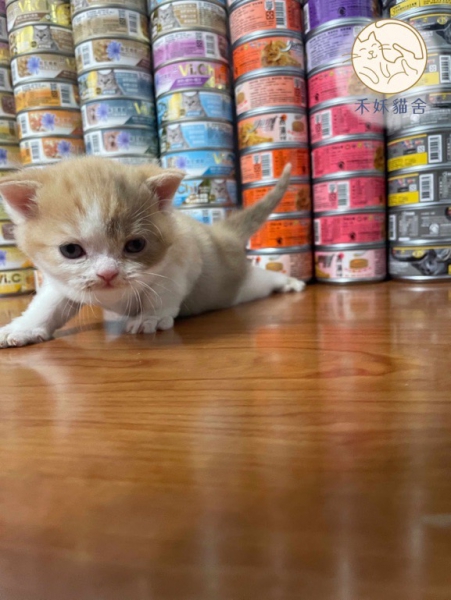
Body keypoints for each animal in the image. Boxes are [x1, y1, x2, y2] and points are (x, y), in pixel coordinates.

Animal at [0, 157, 304, 348]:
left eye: (135, 245)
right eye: (71, 250)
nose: (108, 274)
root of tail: (221, 234)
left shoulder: (184, 256)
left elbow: (165, 289)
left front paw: (151, 316)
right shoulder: (61, 282)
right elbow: (47, 304)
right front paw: (24, 327)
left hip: (240, 286)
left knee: (263, 279)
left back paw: (290, 282)